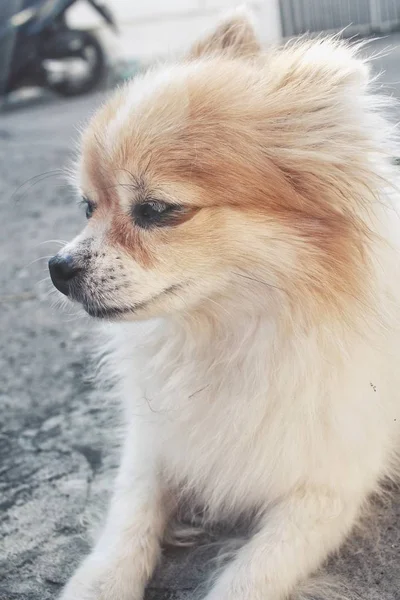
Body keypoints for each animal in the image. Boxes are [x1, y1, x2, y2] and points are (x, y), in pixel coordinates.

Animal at [49, 9, 400, 600]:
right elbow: (128, 519)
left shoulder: (325, 490)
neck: (229, 332)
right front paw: (97, 583)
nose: (58, 268)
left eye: (157, 209)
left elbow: (251, 575)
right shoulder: (157, 440)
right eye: (87, 207)